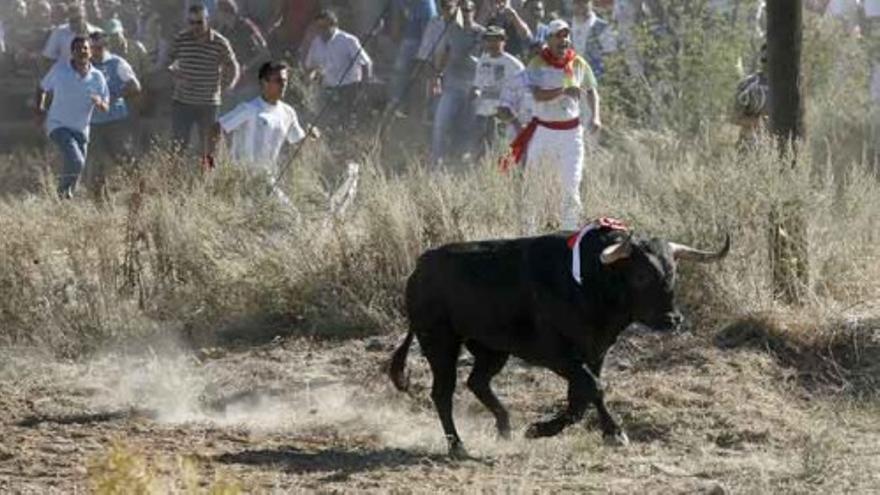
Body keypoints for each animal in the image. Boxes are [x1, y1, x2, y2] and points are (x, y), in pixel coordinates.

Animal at [390, 227, 728, 460]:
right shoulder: (557, 356)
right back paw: (458, 446)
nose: (673, 320)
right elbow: (594, 388)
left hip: (491, 349)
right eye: (642, 275)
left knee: (478, 382)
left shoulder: (594, 353)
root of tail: (420, 267)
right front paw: (615, 433)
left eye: (674, 271)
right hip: (440, 344)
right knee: (442, 393)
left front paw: (540, 429)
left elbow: (581, 399)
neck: (590, 281)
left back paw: (505, 428)